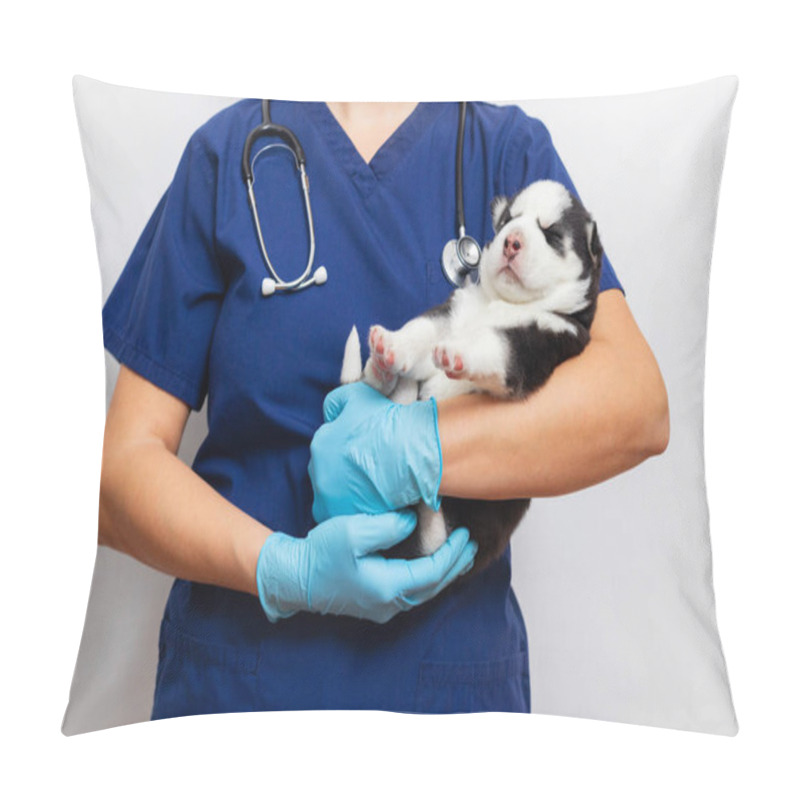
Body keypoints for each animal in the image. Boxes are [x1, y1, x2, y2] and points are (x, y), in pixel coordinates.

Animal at [340, 178, 604, 572]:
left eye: (552, 234)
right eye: (509, 220)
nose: (511, 242)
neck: (504, 304)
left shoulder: (537, 343)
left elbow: (492, 343)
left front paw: (458, 352)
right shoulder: (451, 312)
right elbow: (422, 329)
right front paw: (394, 344)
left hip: (437, 532)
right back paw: (381, 367)